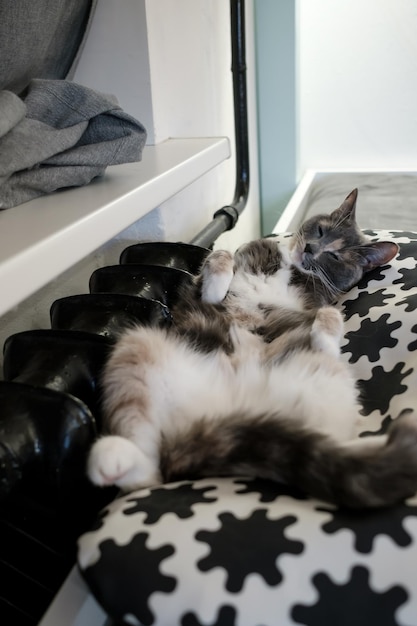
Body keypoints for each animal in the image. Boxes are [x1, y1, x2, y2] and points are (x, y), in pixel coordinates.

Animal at [84, 189, 416, 508]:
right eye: (321, 230)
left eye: (335, 256)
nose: (310, 248)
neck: (290, 268)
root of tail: (216, 421)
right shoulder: (227, 262)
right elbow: (220, 256)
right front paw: (216, 287)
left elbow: (329, 315)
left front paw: (327, 321)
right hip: (134, 345)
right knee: (150, 473)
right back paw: (110, 457)